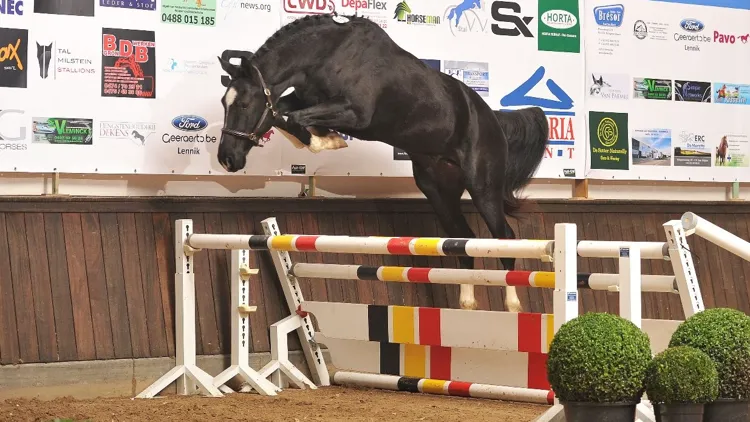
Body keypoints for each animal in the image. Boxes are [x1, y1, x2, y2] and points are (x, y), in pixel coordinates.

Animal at [216, 14, 548, 312]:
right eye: (223, 102)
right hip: (438, 190)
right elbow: (282, 113)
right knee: (464, 241)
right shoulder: (304, 99)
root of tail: (493, 118)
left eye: (243, 104)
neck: (327, 55)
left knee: (505, 238)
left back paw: (512, 305)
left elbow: (292, 117)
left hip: (483, 187)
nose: (227, 159)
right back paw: (466, 303)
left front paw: (325, 140)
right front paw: (318, 138)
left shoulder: (355, 114)